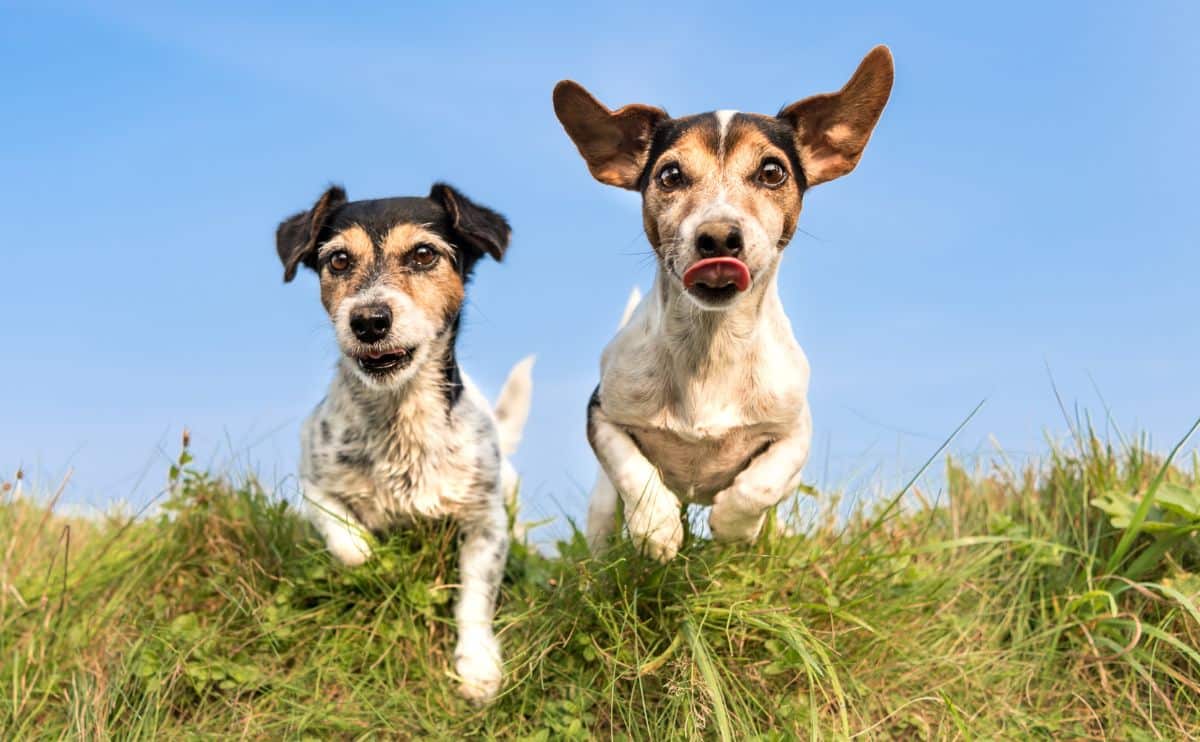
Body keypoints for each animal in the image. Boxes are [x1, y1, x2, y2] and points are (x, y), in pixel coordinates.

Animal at [278, 182, 532, 701]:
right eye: (338, 260)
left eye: (423, 254)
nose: (369, 320)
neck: (401, 419)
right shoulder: (311, 480)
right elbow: (345, 537)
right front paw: (370, 553)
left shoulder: (487, 523)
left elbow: (475, 598)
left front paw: (477, 667)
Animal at [552, 47, 892, 559]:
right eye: (670, 175)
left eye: (772, 172)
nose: (717, 237)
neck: (711, 346)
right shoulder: (603, 415)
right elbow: (633, 469)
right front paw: (655, 527)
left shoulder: (794, 431)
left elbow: (760, 485)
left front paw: (733, 526)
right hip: (601, 506)